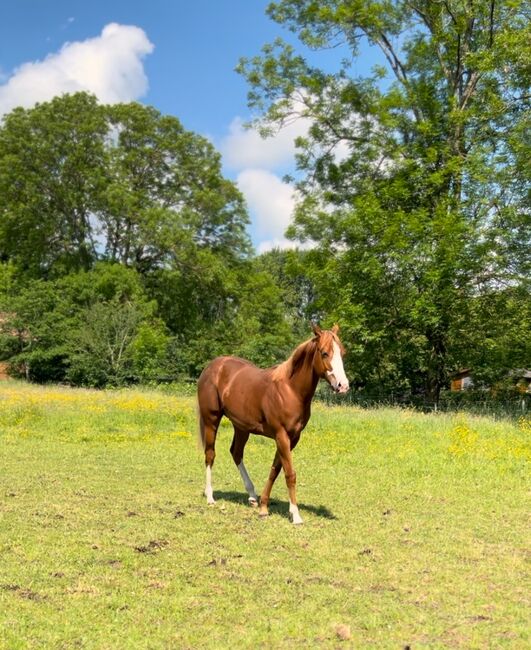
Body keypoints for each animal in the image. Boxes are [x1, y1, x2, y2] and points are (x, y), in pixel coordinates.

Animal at [197, 322, 352, 524]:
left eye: (342, 352)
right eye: (324, 353)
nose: (343, 386)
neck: (290, 390)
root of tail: (213, 366)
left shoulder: (292, 438)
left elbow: (275, 470)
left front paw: (263, 507)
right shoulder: (281, 436)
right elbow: (290, 474)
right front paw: (296, 515)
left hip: (241, 427)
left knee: (236, 453)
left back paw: (252, 496)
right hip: (211, 420)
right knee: (210, 454)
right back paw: (210, 497)